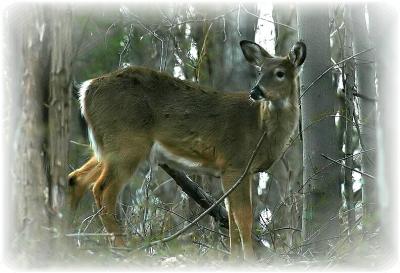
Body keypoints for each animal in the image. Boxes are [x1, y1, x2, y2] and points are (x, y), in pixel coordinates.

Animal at [69, 41, 306, 260]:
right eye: (259, 71)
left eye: (280, 73)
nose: (256, 91)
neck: (260, 127)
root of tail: (86, 89)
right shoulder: (236, 163)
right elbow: (243, 217)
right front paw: (248, 259)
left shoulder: (232, 170)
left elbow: (231, 218)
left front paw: (234, 258)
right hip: (127, 144)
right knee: (102, 189)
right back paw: (124, 250)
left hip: (108, 146)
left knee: (76, 178)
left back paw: (67, 236)